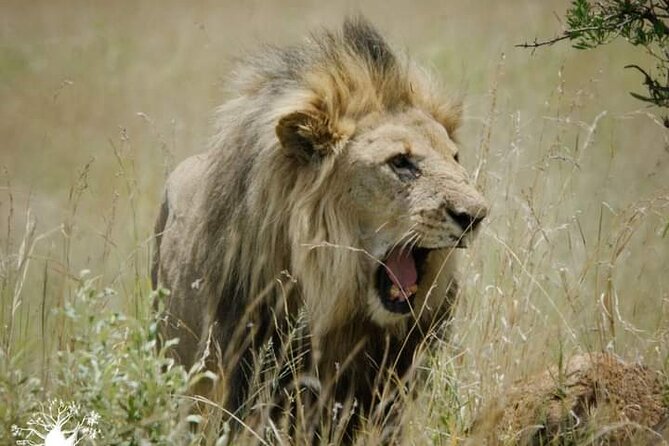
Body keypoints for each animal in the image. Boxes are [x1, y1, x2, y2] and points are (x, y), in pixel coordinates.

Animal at [152, 17, 488, 440]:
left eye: (455, 157)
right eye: (400, 162)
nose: (477, 215)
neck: (340, 308)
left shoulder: (388, 390)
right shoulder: (249, 370)